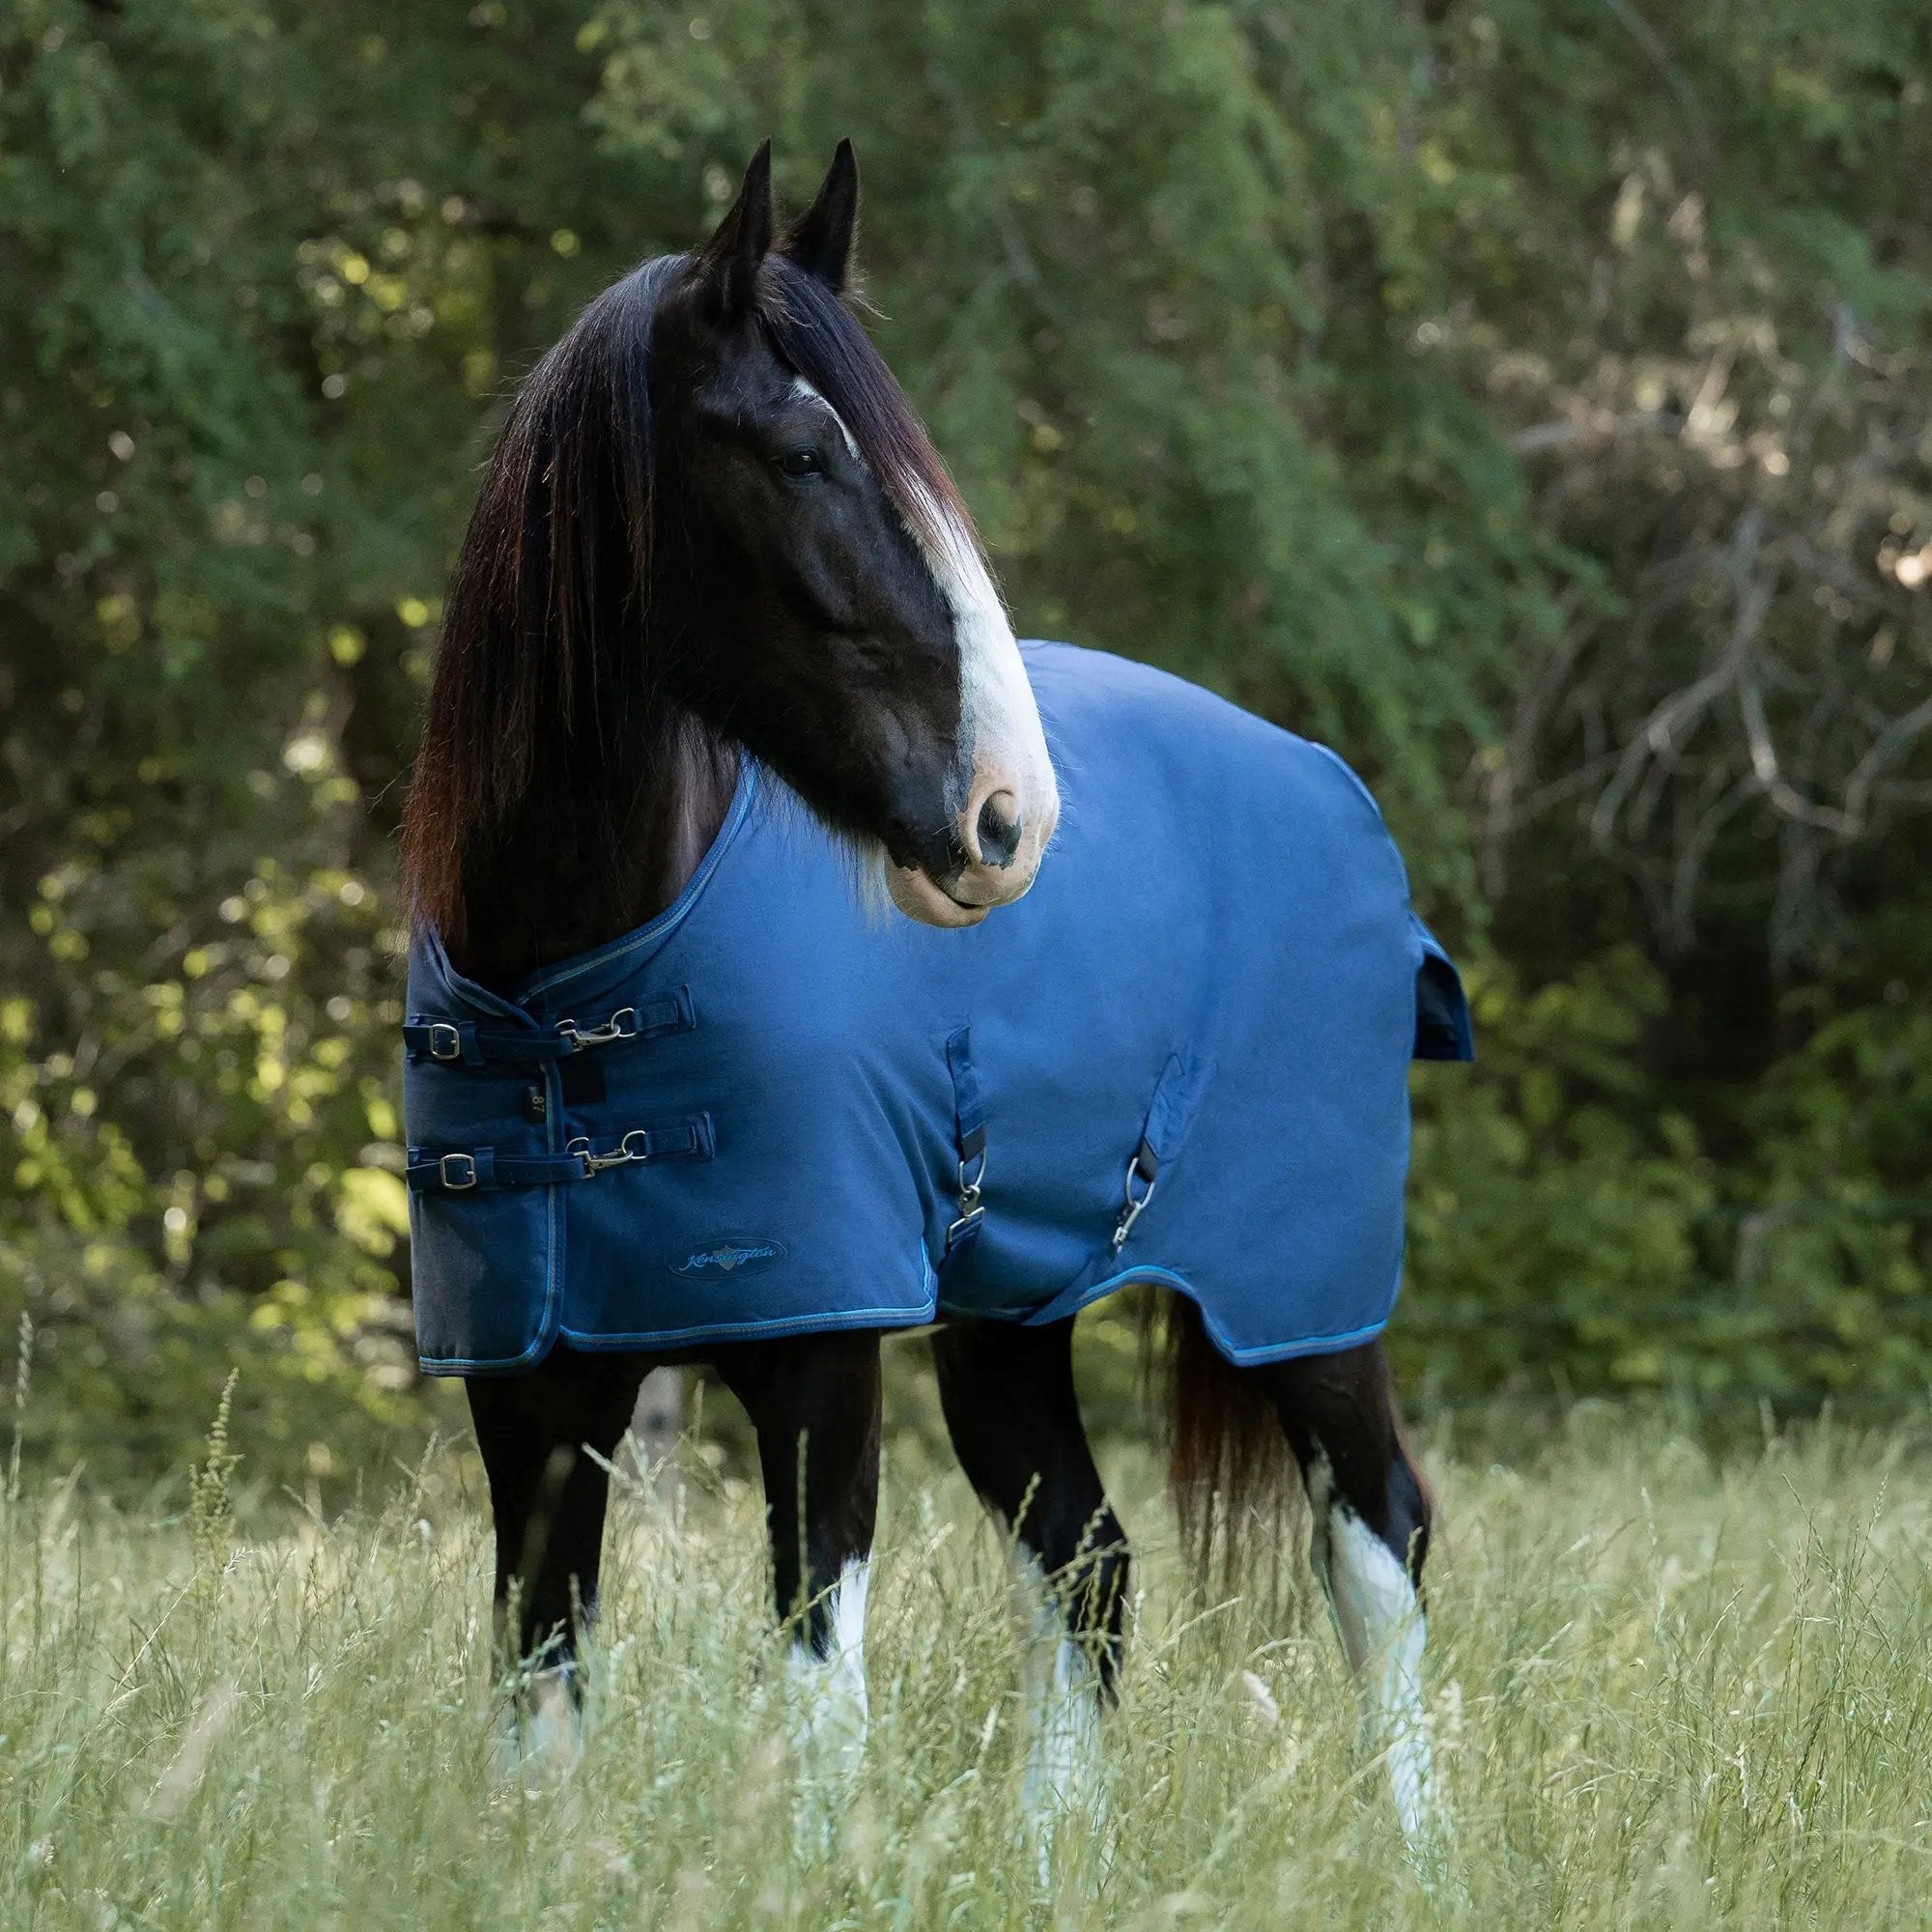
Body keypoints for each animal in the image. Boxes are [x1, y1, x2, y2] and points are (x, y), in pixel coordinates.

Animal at [399, 139, 1465, 1860]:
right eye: (799, 455)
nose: (1008, 816)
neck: (570, 985)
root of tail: (1324, 776)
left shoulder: (822, 1356)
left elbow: (815, 1676)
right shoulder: (531, 1397)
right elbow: (541, 1681)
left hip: (1303, 1302)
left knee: (1379, 1551)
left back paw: (1416, 1857)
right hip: (1009, 1325)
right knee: (1091, 1567)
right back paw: (1053, 1854)